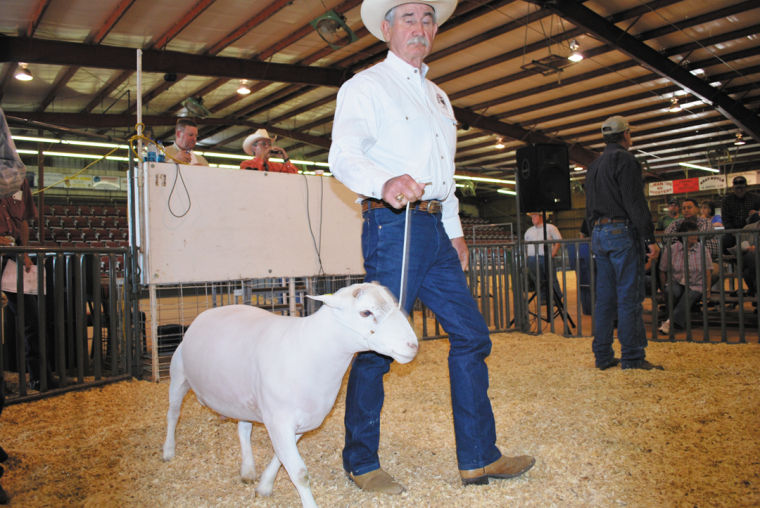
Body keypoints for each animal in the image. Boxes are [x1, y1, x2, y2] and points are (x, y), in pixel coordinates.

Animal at [162, 282, 418, 508]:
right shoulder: (280, 419)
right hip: (178, 375)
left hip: (243, 395)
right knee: (173, 414)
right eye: (366, 312)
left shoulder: (301, 422)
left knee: (243, 429)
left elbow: (280, 457)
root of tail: (207, 312)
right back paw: (168, 451)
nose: (413, 345)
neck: (312, 351)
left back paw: (248, 470)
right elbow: (300, 473)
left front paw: (264, 486)